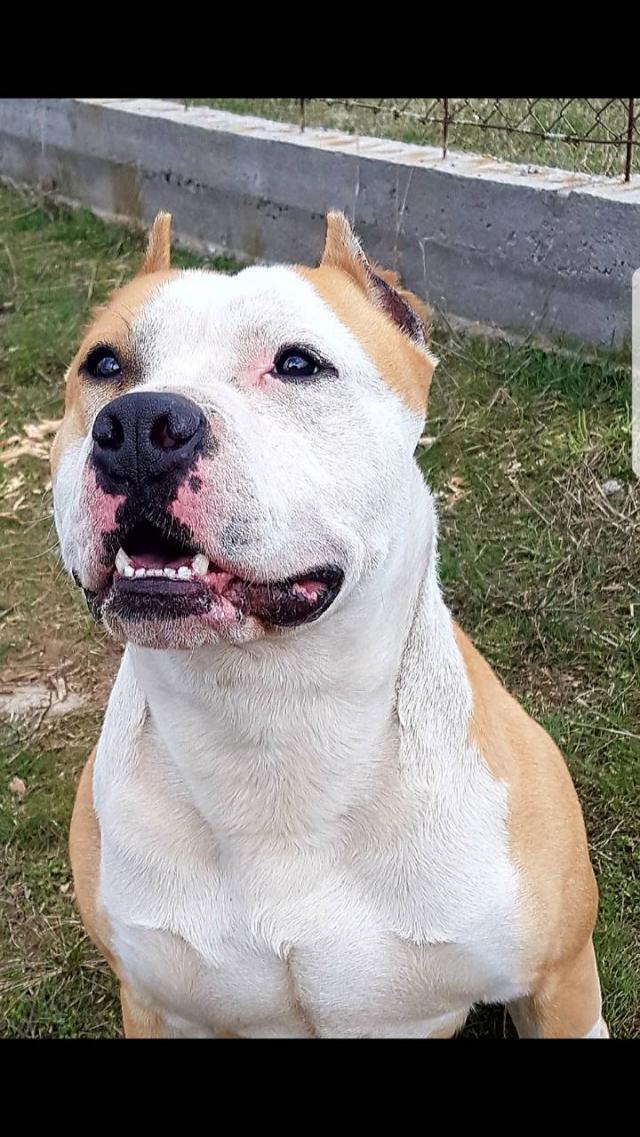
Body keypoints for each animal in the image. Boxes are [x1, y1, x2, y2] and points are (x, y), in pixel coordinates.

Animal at [51, 210, 608, 1038]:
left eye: (298, 363)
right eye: (104, 363)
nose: (140, 423)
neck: (270, 717)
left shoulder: (560, 981)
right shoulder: (155, 1004)